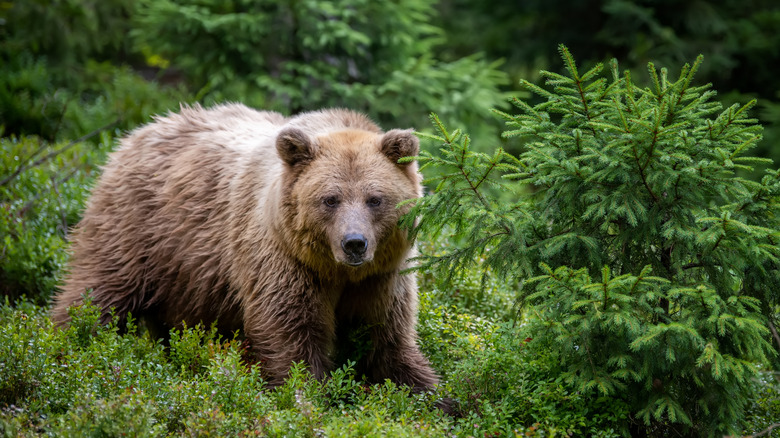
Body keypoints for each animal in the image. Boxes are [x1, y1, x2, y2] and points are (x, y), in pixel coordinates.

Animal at [51, 103, 442, 390]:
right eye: (330, 199)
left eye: (375, 199)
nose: (355, 244)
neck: (335, 271)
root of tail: (137, 132)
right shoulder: (282, 260)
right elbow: (290, 333)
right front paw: (305, 393)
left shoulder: (383, 276)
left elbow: (388, 338)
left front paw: (431, 393)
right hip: (138, 232)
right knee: (97, 291)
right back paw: (66, 345)